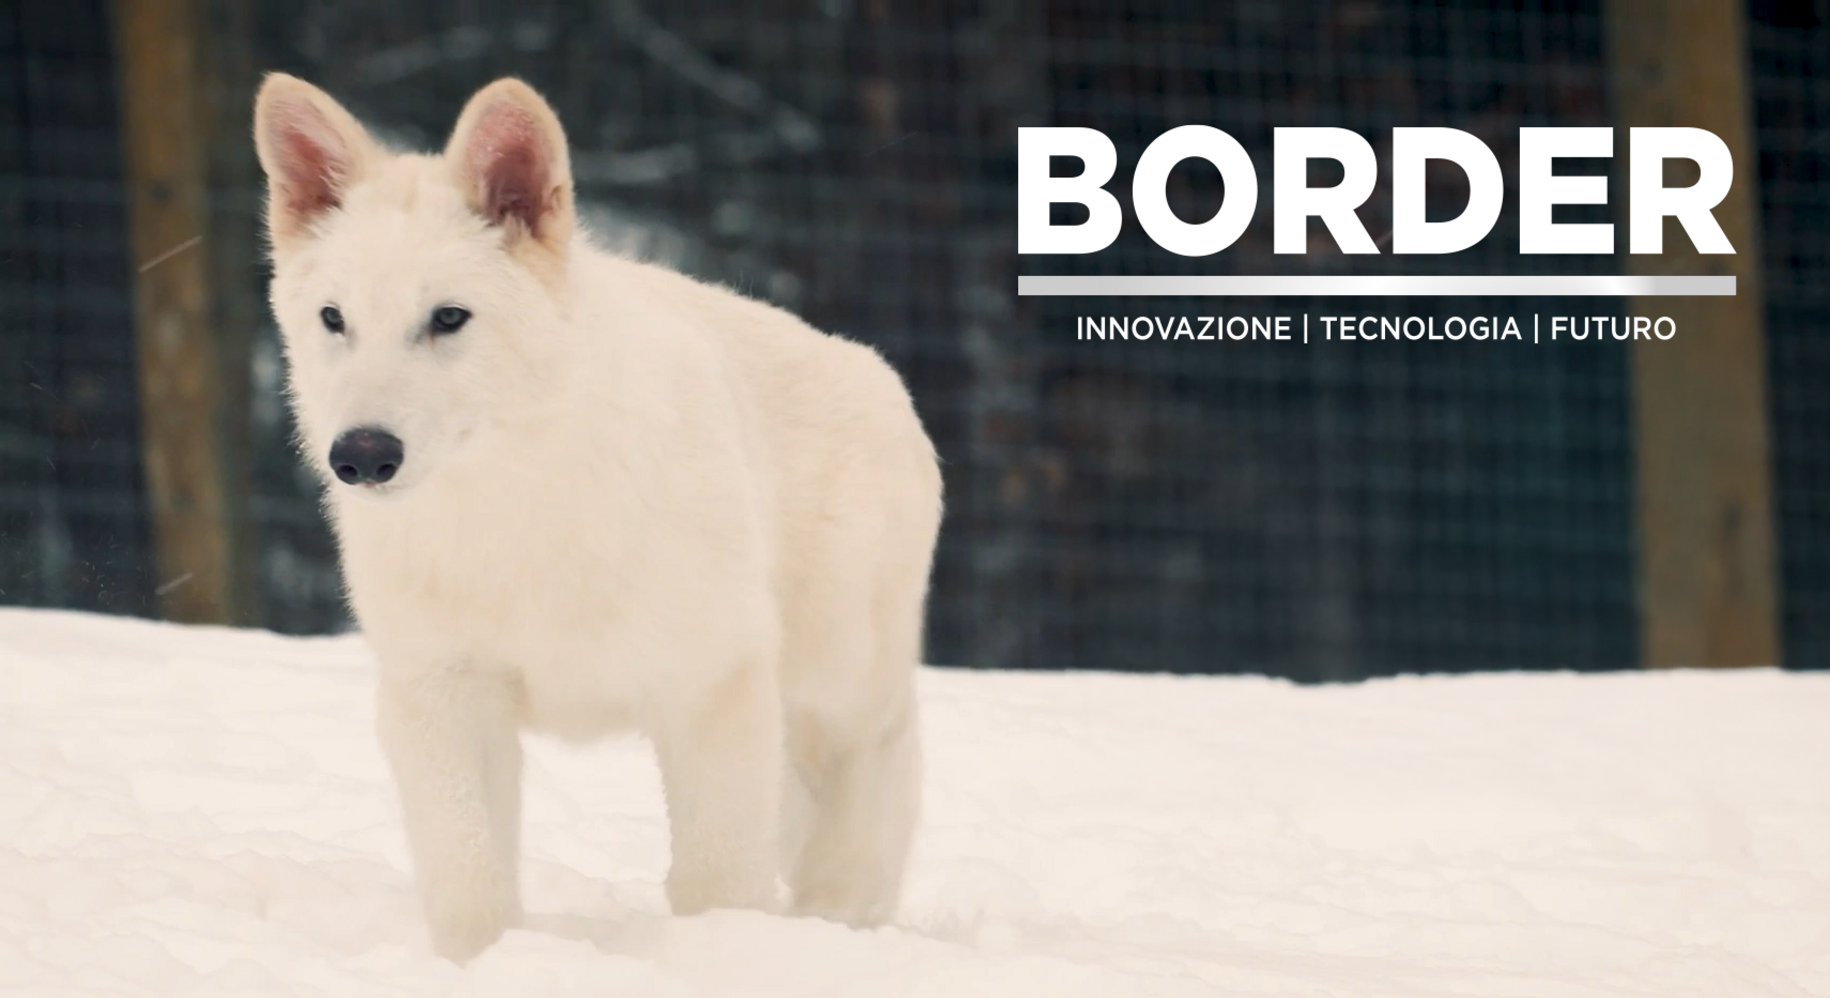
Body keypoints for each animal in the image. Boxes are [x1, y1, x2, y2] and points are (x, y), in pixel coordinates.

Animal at [252, 74, 943, 962]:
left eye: (448, 318)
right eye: (335, 320)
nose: (362, 455)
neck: (514, 507)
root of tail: (879, 376)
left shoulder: (710, 688)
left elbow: (714, 882)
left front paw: (720, 958)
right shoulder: (440, 696)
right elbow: (468, 881)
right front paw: (484, 967)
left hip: (841, 695)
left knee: (868, 809)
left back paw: (834, 925)